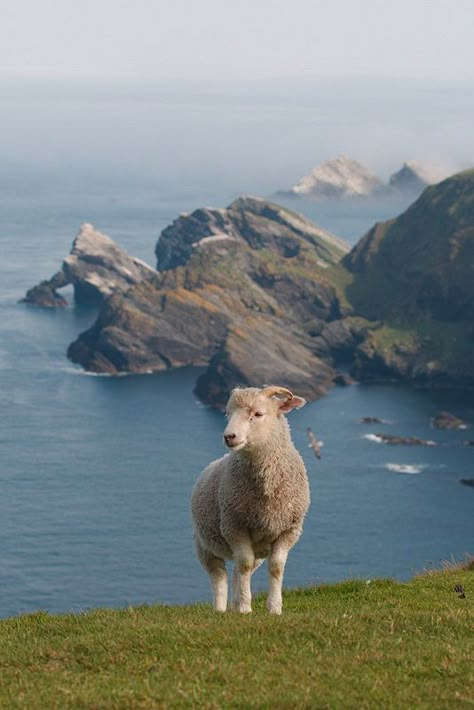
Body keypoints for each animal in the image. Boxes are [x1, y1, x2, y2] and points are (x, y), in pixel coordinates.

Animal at [191, 386, 310, 616]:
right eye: (228, 414)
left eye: (258, 414)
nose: (229, 436)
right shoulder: (234, 526)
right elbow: (244, 565)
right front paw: (246, 608)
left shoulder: (289, 530)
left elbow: (276, 567)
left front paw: (274, 608)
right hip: (205, 545)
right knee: (219, 576)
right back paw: (221, 609)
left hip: (258, 551)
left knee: (236, 571)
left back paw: (235, 603)